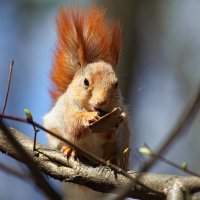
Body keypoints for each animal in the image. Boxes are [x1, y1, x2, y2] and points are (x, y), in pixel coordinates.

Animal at [43, 5, 131, 169]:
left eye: (116, 84)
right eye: (85, 82)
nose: (101, 102)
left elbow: (110, 134)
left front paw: (114, 123)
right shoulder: (68, 109)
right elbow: (73, 125)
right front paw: (88, 117)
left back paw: (112, 159)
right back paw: (70, 149)